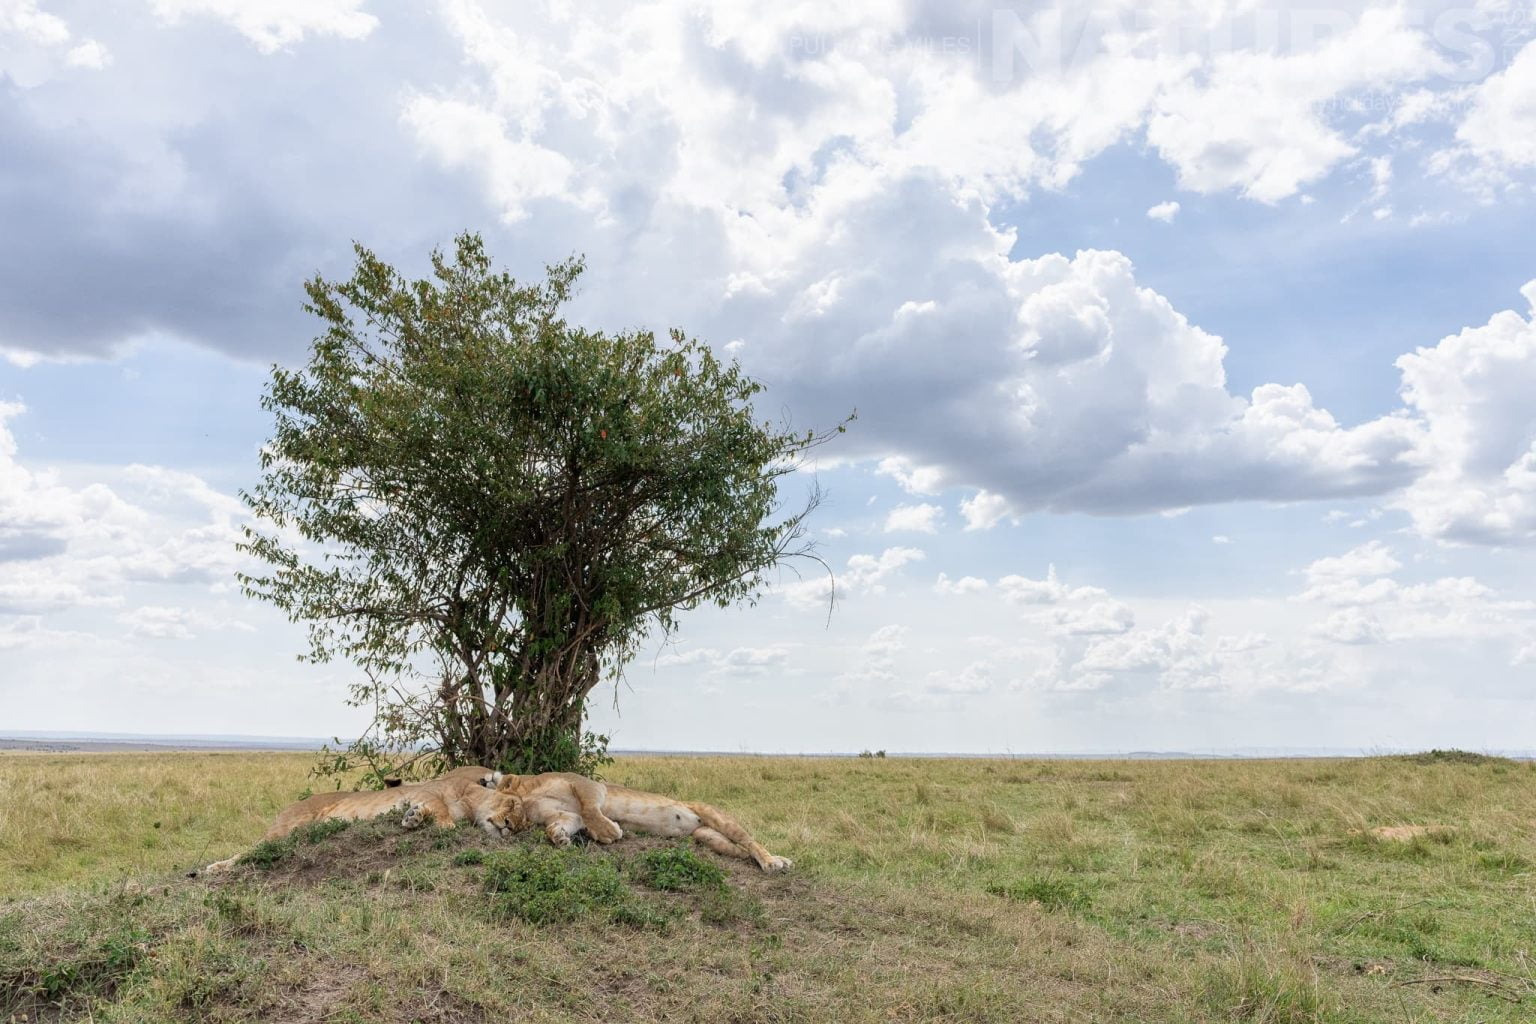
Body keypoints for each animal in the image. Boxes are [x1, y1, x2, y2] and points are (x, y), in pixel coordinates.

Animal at [197, 765, 523, 875]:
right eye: (511, 805)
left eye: (522, 824)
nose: (510, 827)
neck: (470, 802)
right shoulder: (427, 791)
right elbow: (440, 809)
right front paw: (434, 822)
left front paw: (414, 818)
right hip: (286, 828)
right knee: (248, 852)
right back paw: (211, 869)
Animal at [487, 771, 792, 873]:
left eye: (509, 805)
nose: (503, 825)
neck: (530, 798)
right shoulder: (565, 814)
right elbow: (562, 823)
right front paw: (560, 837)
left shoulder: (586, 784)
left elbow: (589, 809)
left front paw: (608, 831)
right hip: (707, 837)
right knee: (739, 850)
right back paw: (780, 860)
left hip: (715, 815)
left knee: (750, 841)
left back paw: (772, 862)